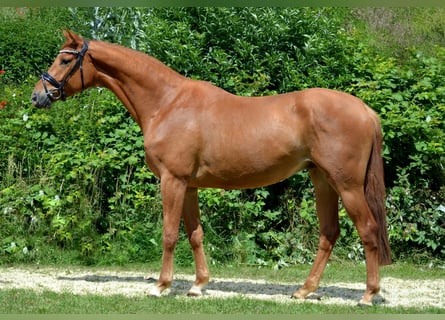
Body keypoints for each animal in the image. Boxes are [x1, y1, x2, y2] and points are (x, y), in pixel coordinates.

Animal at [31, 30, 388, 304]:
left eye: (65, 60)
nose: (37, 96)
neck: (167, 103)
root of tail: (365, 110)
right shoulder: (189, 186)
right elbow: (195, 235)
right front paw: (198, 285)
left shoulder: (172, 181)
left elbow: (169, 234)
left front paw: (161, 286)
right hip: (323, 180)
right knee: (329, 233)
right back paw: (304, 290)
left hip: (347, 186)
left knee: (367, 230)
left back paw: (368, 295)